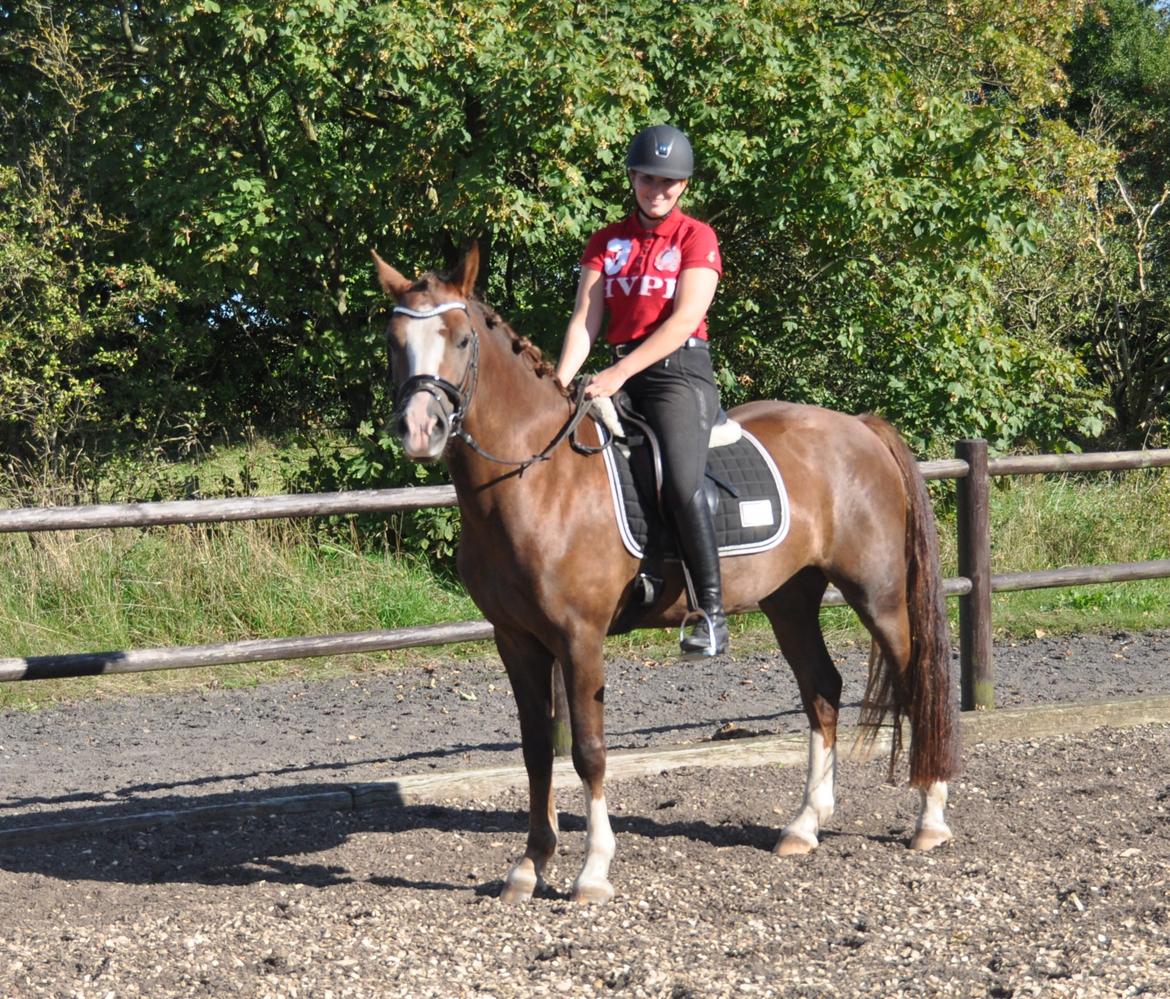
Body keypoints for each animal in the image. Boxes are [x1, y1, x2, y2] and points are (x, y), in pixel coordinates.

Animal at [374, 244, 959, 907]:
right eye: (394, 340)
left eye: (462, 338)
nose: (420, 429)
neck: (534, 479)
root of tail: (859, 427)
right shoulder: (516, 640)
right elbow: (535, 751)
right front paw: (529, 866)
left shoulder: (579, 638)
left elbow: (588, 751)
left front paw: (592, 871)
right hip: (789, 599)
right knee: (822, 690)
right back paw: (804, 827)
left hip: (878, 595)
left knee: (915, 682)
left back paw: (930, 819)